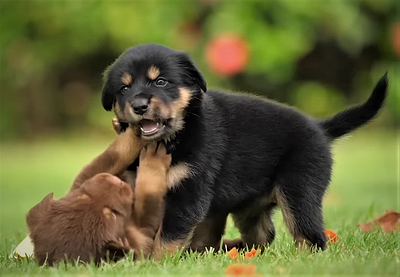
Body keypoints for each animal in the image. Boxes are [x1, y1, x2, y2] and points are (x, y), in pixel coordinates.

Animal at [26, 132, 170, 266]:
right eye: (113, 215)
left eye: (83, 196)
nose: (115, 181)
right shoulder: (141, 235)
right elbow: (148, 197)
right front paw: (153, 159)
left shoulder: (81, 182)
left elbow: (103, 162)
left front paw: (135, 132)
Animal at [101, 43, 388, 252]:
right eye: (124, 88)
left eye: (160, 81)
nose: (139, 106)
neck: (177, 135)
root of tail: (320, 127)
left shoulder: (188, 194)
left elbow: (168, 237)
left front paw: (157, 262)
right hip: (250, 206)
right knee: (265, 234)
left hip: (299, 191)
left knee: (310, 237)